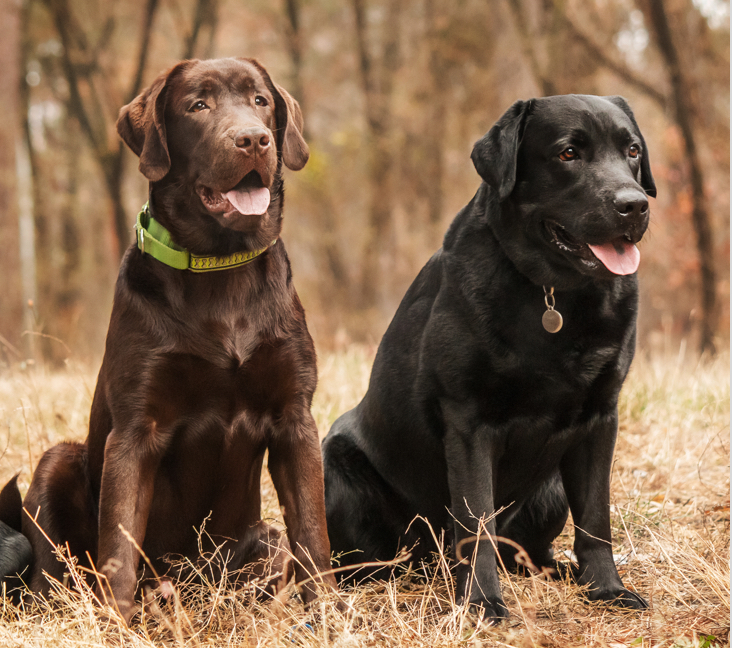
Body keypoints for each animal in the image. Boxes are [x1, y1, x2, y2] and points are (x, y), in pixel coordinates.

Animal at [0, 57, 334, 624]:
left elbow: (313, 530)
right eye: (198, 105)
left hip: (263, 542)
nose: (254, 139)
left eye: (261, 101)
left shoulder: (295, 417)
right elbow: (119, 543)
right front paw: (118, 622)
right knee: (54, 575)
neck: (220, 268)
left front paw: (329, 614)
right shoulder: (137, 428)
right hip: (56, 463)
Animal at [324, 95, 656, 624]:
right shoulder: (468, 420)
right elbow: (476, 520)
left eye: (632, 151)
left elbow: (595, 519)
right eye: (568, 154)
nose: (634, 205)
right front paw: (481, 603)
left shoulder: (602, 416)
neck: (554, 295)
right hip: (337, 466)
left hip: (550, 491)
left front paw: (607, 589)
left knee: (527, 553)